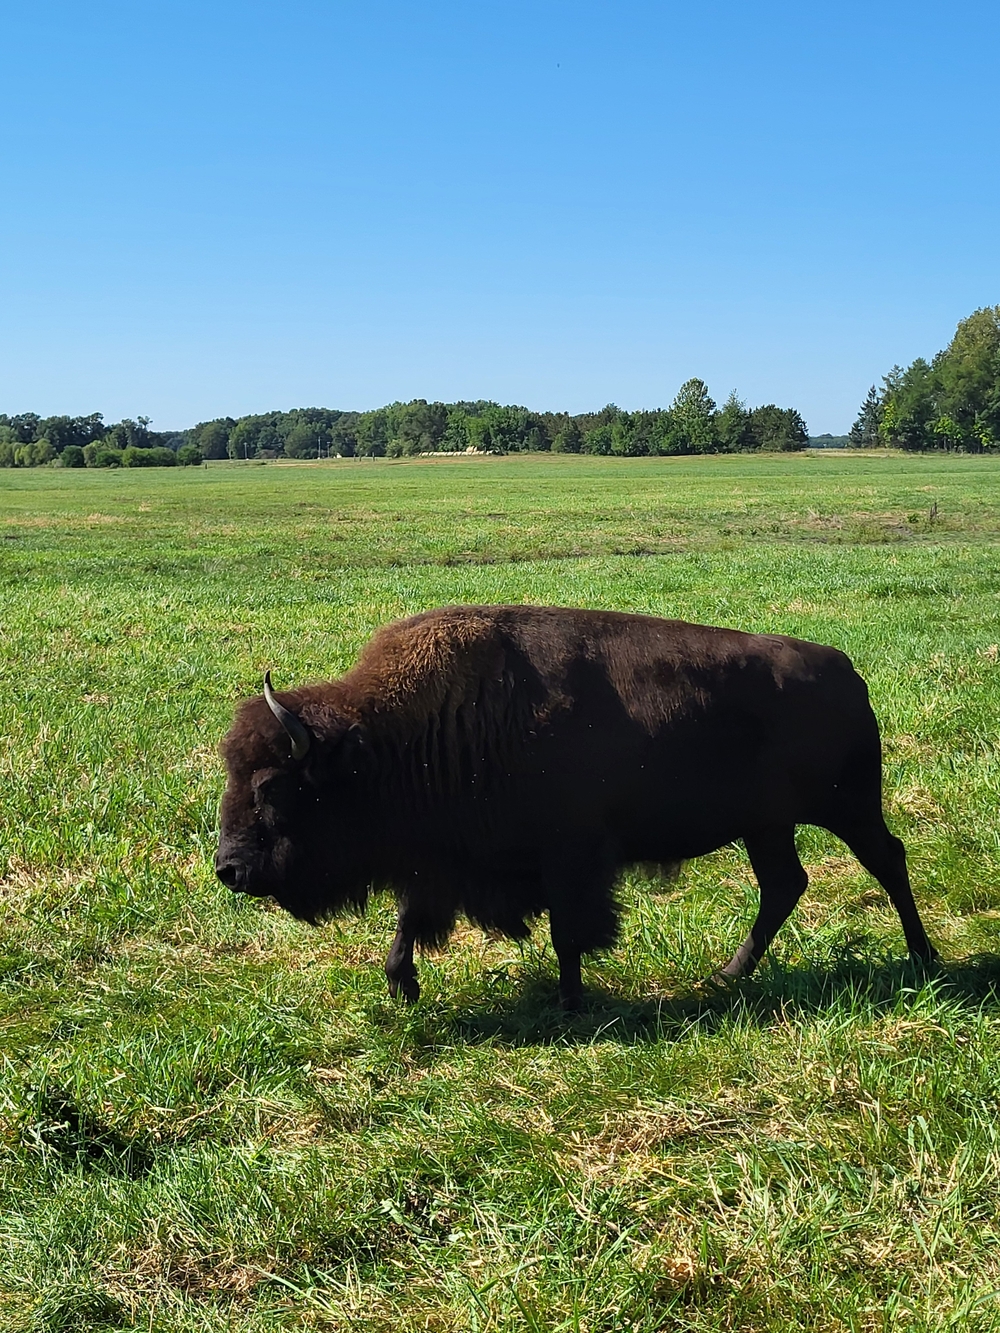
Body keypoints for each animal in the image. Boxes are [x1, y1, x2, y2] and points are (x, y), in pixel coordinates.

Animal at [216, 604, 936, 1008]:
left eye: (272, 787)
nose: (229, 868)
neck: (394, 740)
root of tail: (846, 670)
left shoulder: (570, 859)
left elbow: (570, 931)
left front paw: (570, 1001)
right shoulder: (442, 862)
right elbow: (410, 920)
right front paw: (403, 986)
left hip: (848, 811)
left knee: (887, 860)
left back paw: (923, 957)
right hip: (769, 826)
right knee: (784, 884)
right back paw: (728, 974)